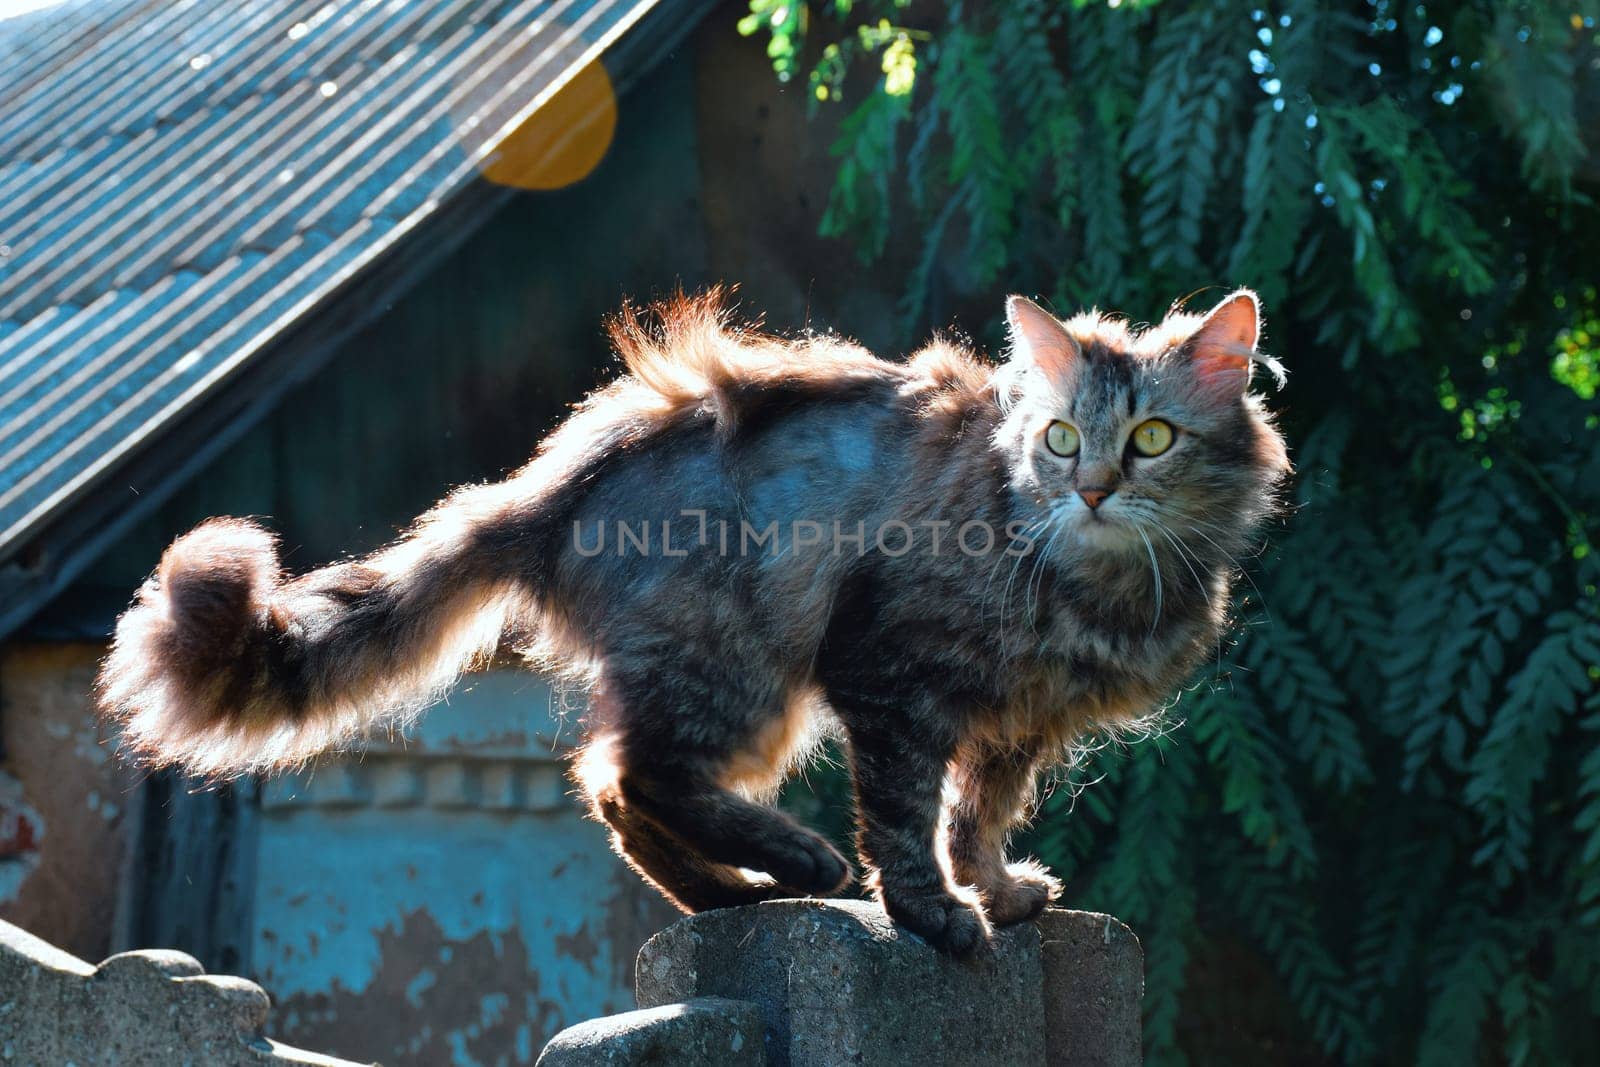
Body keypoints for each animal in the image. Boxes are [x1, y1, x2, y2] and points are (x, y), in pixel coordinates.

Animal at [96, 287, 1286, 953]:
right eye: (1056, 439)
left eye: (1149, 440)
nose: (1089, 489)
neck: (1095, 584)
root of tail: (549, 486)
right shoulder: (892, 681)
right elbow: (909, 819)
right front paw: (938, 913)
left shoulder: (1016, 726)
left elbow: (975, 813)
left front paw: (993, 888)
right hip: (745, 669)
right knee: (631, 774)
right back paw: (792, 863)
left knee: (615, 787)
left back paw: (726, 892)